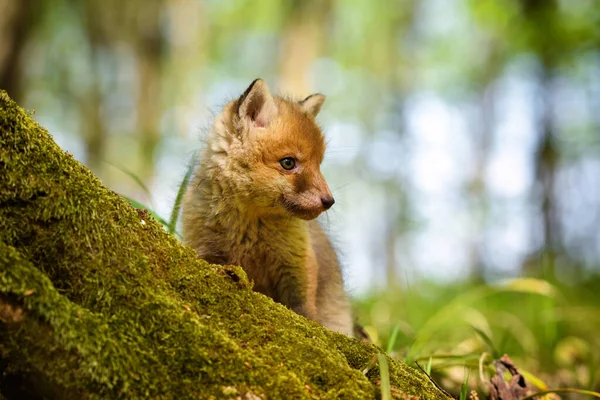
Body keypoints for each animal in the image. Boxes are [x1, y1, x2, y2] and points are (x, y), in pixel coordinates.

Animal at [180, 78, 354, 334]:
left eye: (319, 164)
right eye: (288, 163)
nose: (329, 201)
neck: (249, 227)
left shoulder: (297, 264)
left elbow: (303, 312)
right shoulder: (207, 253)